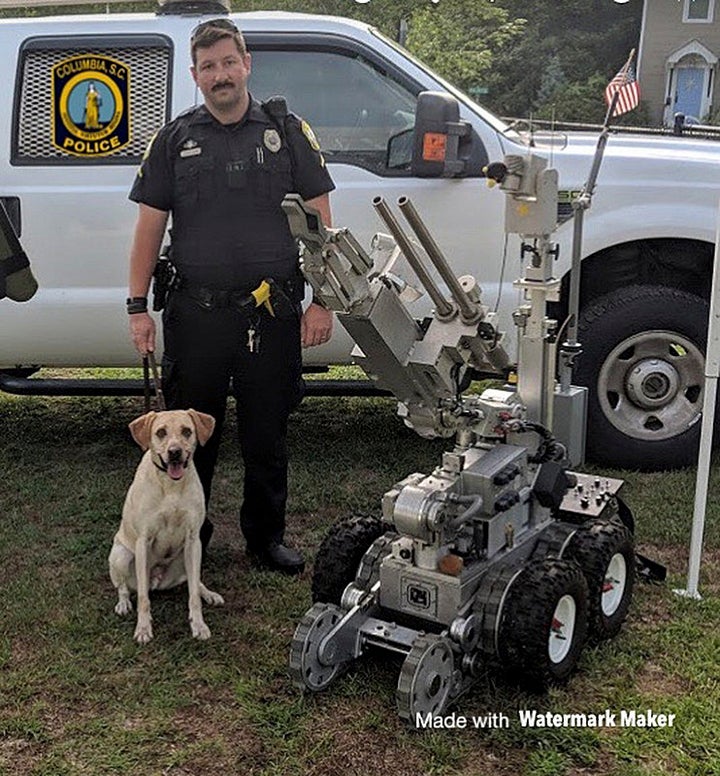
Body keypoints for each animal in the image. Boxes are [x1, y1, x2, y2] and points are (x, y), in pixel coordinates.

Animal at [107, 410, 222, 644]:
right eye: (161, 432)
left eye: (187, 431)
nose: (175, 452)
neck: (171, 485)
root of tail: (157, 582)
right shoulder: (143, 541)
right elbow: (143, 598)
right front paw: (143, 629)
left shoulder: (193, 539)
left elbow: (193, 595)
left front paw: (198, 625)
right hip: (121, 556)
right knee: (124, 587)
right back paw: (123, 604)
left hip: (187, 558)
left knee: (195, 582)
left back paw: (209, 594)